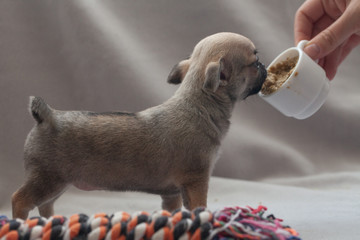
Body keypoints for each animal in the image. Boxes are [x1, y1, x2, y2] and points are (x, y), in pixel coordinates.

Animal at [12, 32, 266, 219]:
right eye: (254, 63)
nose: (264, 66)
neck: (198, 104)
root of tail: (48, 116)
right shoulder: (197, 182)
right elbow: (198, 208)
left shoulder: (172, 194)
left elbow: (173, 212)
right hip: (47, 179)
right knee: (21, 201)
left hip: (57, 183)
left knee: (45, 205)